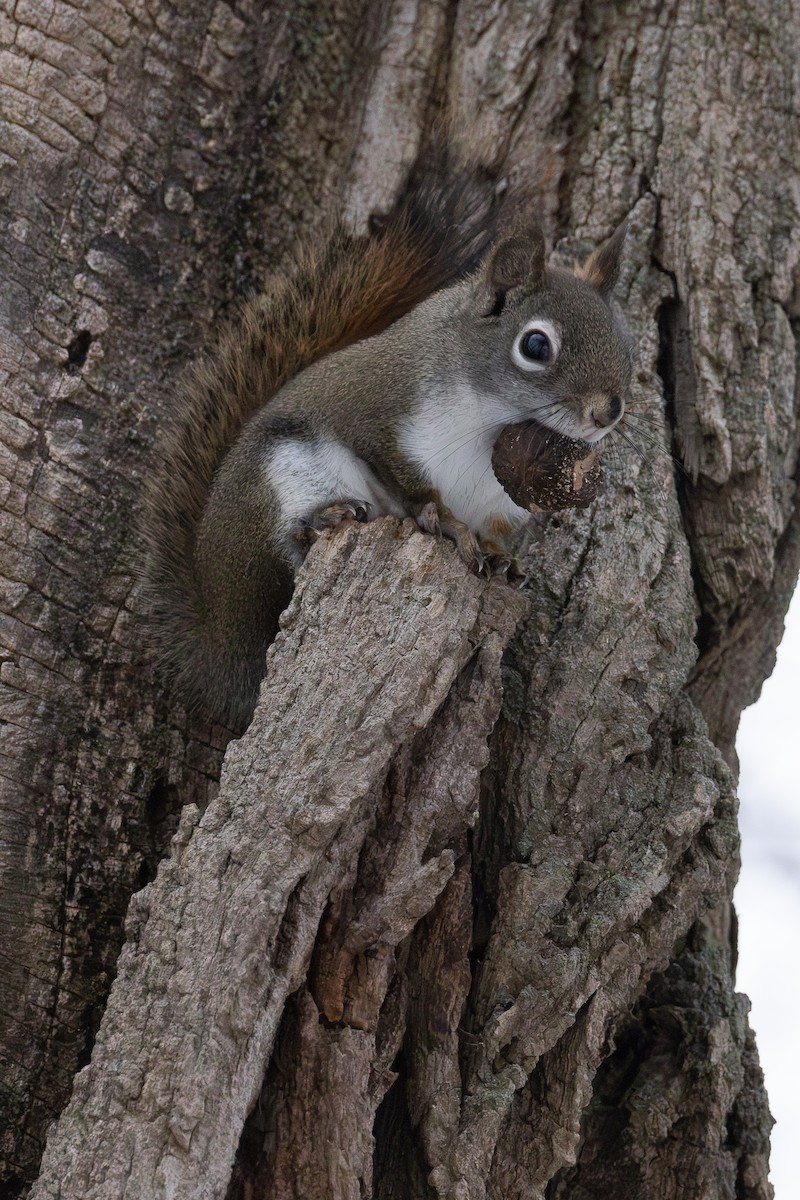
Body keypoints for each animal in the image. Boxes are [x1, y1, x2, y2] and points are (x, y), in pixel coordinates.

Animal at [141, 150, 632, 733]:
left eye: (624, 340)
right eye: (535, 345)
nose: (607, 412)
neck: (492, 420)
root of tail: (219, 639)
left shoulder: (501, 503)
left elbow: (496, 534)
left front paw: (500, 560)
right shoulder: (375, 413)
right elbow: (406, 481)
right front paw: (442, 520)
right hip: (278, 481)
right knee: (280, 570)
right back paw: (321, 521)